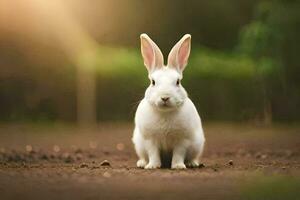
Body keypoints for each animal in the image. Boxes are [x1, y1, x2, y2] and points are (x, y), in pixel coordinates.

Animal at [132, 33, 205, 169]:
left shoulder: (182, 140)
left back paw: (192, 163)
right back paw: (142, 163)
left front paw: (178, 166)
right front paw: (152, 166)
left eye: (178, 82)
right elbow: (153, 153)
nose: (165, 97)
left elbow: (179, 154)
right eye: (153, 82)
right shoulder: (150, 140)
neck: (165, 113)